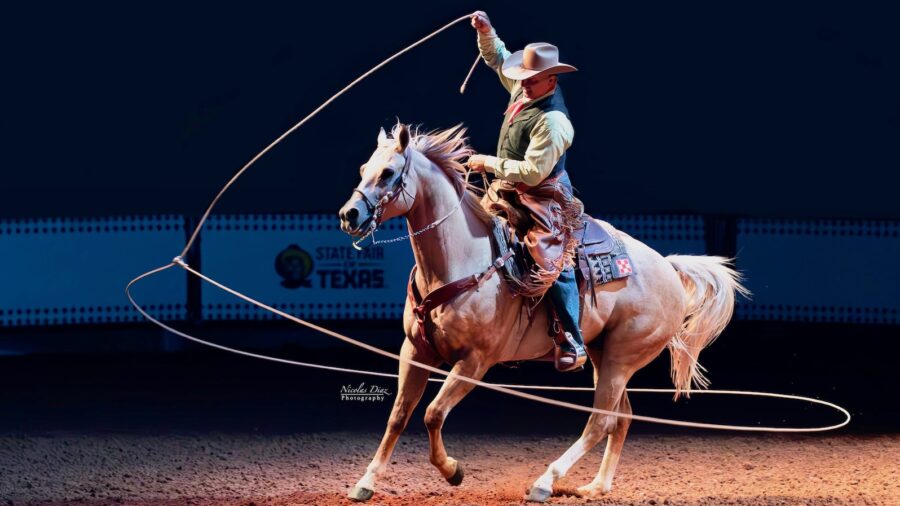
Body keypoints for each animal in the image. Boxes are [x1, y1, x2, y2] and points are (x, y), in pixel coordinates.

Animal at [337, 122, 748, 502]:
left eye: (388, 173)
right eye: (363, 169)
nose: (348, 214)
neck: (461, 261)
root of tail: (668, 267)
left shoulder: (475, 362)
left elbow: (433, 414)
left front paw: (452, 470)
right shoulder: (415, 351)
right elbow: (399, 416)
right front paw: (366, 482)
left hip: (623, 357)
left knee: (600, 421)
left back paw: (545, 482)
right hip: (602, 354)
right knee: (621, 417)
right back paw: (596, 486)